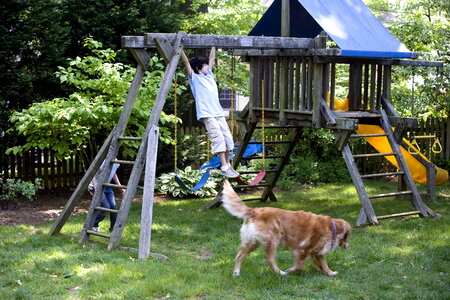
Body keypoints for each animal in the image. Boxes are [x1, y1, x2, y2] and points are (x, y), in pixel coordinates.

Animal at [221, 180, 352, 276]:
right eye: (347, 236)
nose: (348, 246)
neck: (332, 228)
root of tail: (255, 211)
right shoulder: (301, 250)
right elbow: (299, 266)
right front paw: (290, 271)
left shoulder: (317, 253)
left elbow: (324, 264)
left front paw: (330, 273)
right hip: (273, 240)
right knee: (269, 260)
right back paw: (280, 273)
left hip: (252, 242)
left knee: (239, 256)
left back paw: (236, 273)